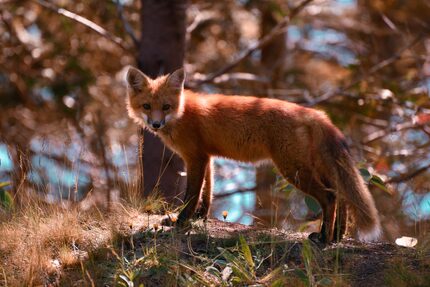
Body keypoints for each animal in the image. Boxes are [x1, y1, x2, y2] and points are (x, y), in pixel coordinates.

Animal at [122, 67, 382, 243]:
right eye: (147, 106)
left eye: (166, 107)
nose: (155, 124)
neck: (183, 111)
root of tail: (314, 113)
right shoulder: (206, 157)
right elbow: (208, 192)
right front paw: (199, 217)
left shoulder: (195, 157)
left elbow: (192, 194)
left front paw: (181, 221)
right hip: (315, 167)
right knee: (340, 195)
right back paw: (337, 236)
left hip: (293, 169)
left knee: (329, 197)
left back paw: (325, 239)